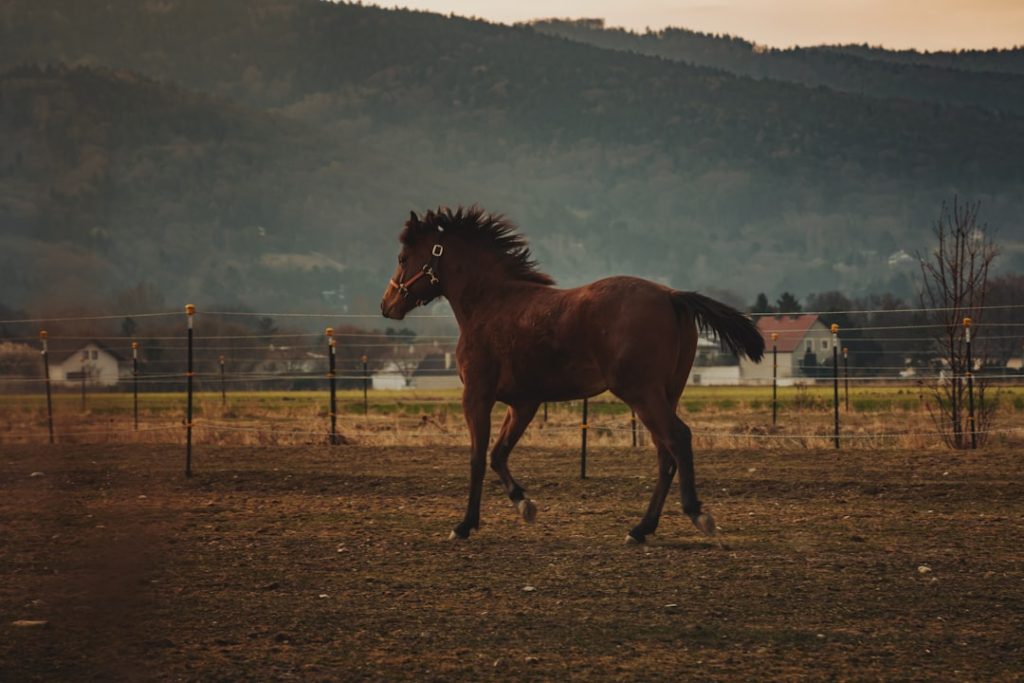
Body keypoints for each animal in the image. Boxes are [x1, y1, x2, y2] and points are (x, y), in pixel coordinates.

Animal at [380, 207, 764, 543]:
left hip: (642, 393)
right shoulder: (523, 403)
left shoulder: (477, 396)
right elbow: (498, 454)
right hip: (666, 393)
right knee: (664, 454)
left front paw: (464, 525)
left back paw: (696, 515)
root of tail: (671, 296)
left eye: (402, 258)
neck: (490, 304)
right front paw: (525, 505)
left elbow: (477, 457)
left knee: (678, 439)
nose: (386, 305)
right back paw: (641, 529)